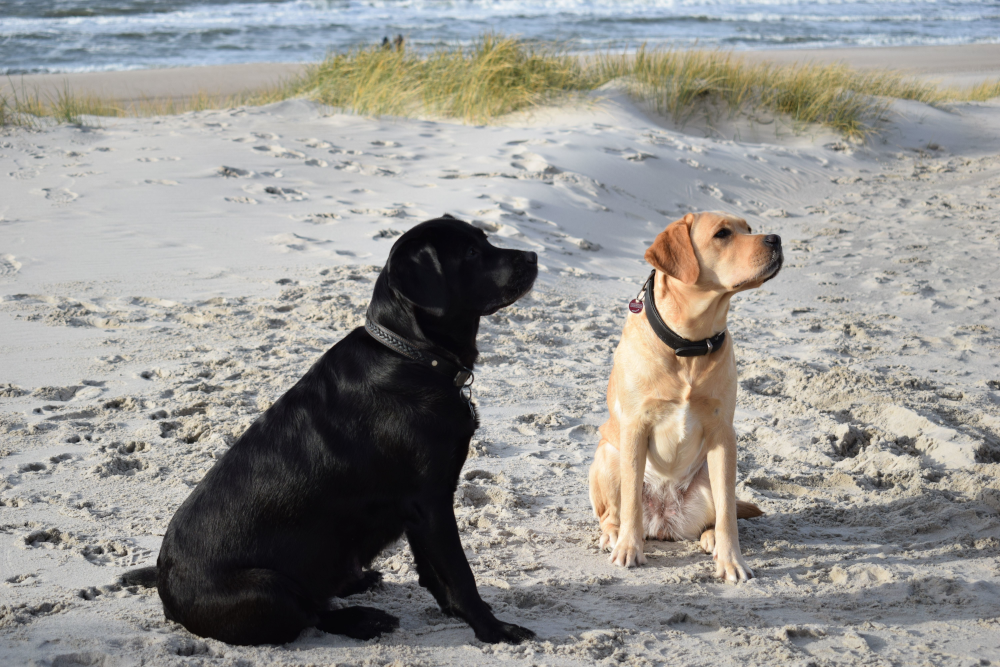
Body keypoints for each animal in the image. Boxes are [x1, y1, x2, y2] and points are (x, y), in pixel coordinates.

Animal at [135, 217, 540, 644]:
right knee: (310, 614)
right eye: (472, 253)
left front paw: (456, 614)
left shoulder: (421, 509)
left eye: (484, 240)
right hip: (266, 587)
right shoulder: (431, 501)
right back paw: (364, 619)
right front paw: (493, 629)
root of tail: (168, 599)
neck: (412, 355)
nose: (533, 256)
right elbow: (460, 575)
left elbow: (432, 572)